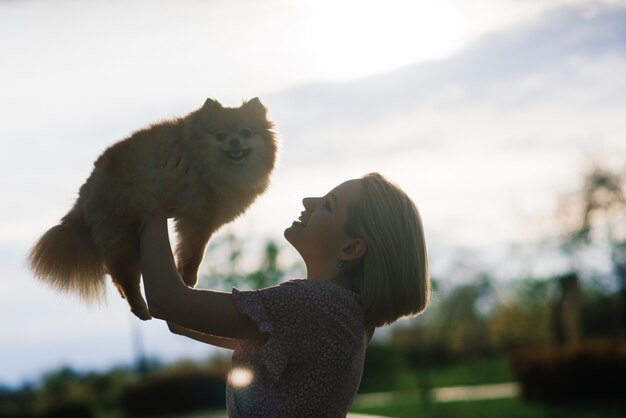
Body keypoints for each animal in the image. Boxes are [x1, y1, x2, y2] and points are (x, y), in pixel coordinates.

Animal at [26, 98, 276, 320]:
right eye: (221, 135)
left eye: (246, 132)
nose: (234, 141)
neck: (208, 162)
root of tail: (87, 189)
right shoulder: (198, 220)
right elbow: (194, 255)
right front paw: (188, 279)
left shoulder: (191, 220)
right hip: (124, 230)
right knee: (125, 274)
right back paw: (139, 307)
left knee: (115, 272)